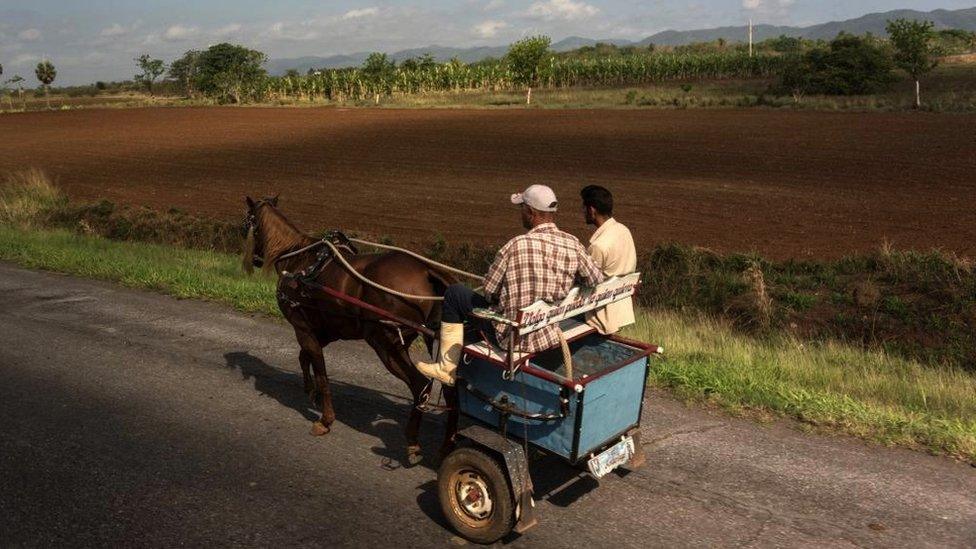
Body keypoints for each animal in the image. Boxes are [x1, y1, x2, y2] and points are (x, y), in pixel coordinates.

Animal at [242, 197, 460, 462]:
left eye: (247, 222)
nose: (255, 259)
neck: (300, 263)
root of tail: (426, 270)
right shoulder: (325, 331)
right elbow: (305, 358)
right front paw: (311, 391)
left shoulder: (303, 328)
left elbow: (321, 372)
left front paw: (325, 419)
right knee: (451, 393)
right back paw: (446, 448)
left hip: (385, 342)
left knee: (422, 386)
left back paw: (412, 442)